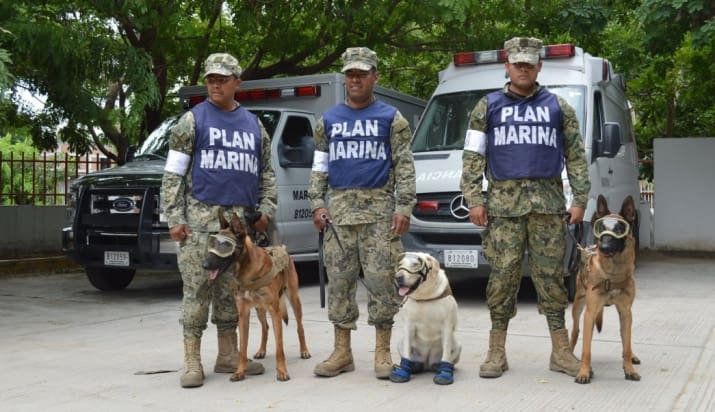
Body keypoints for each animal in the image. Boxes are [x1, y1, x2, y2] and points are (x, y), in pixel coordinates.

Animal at [203, 211, 312, 382]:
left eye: (225, 246)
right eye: (213, 244)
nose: (205, 265)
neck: (247, 271)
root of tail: (282, 248)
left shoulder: (275, 312)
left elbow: (279, 346)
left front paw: (282, 371)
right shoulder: (243, 314)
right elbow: (243, 347)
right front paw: (240, 371)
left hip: (294, 299)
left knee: (299, 327)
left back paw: (304, 350)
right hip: (260, 309)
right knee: (265, 328)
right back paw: (261, 350)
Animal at [388, 253, 462, 384]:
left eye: (415, 264)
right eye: (400, 265)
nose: (398, 277)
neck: (424, 297)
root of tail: (427, 363)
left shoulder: (447, 326)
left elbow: (446, 354)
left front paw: (444, 374)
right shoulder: (409, 325)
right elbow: (406, 352)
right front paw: (403, 371)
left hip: (458, 346)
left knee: (448, 358)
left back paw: (440, 367)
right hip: (400, 343)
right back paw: (414, 366)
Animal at [572, 195, 644, 384]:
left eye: (619, 229)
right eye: (601, 228)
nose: (603, 248)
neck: (613, 275)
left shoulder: (626, 312)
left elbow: (626, 345)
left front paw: (629, 369)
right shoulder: (590, 313)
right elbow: (586, 349)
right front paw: (583, 372)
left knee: (625, 339)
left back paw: (632, 356)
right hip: (578, 307)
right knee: (576, 331)